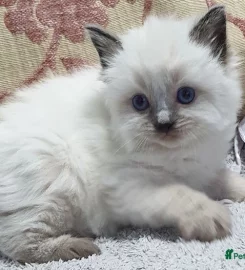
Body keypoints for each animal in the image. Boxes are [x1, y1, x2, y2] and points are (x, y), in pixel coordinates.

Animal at [0, 5, 245, 264]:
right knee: (16, 242)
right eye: (140, 102)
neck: (179, 154)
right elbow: (180, 194)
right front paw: (213, 217)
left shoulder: (204, 171)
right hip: (56, 184)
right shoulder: (129, 187)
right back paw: (79, 247)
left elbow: (227, 180)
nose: (164, 124)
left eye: (186, 95)